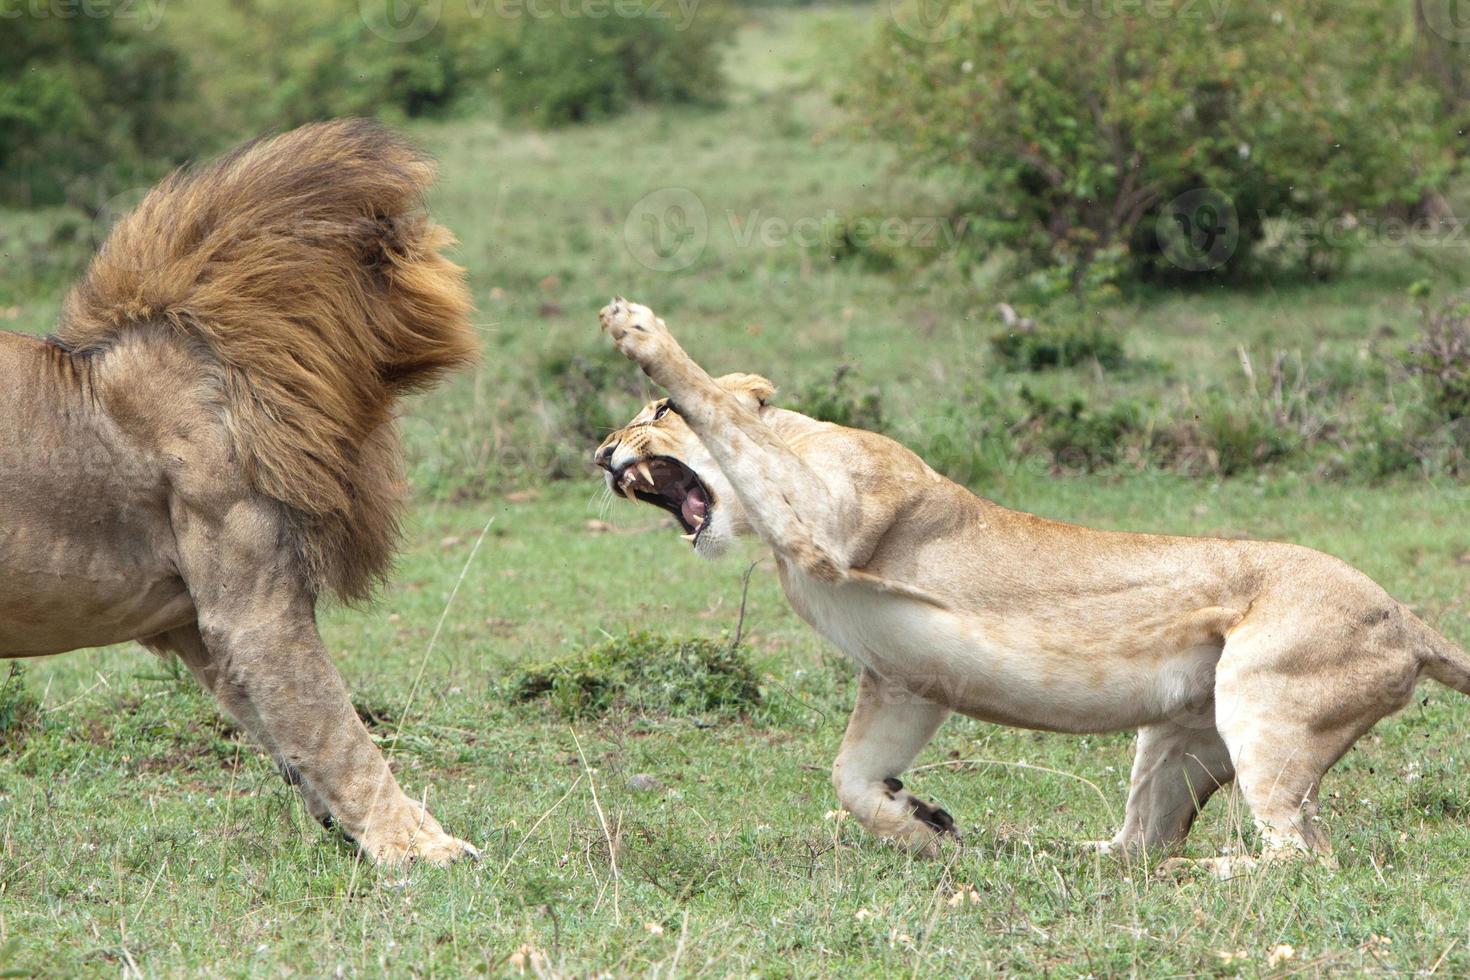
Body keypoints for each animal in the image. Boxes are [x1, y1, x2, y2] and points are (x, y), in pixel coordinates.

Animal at [0, 121, 481, 865]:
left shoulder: (196, 623)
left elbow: (291, 730)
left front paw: (348, 827)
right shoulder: (251, 605)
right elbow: (338, 729)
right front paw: (419, 847)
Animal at [594, 298, 1470, 875]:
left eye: (657, 412)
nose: (602, 451)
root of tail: (1408, 618)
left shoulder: (834, 514)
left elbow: (724, 414)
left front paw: (639, 330)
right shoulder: (903, 678)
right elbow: (849, 779)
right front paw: (923, 826)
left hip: (1264, 704)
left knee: (1303, 857)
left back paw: (1197, 873)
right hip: (1181, 735)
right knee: (1142, 840)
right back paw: (1048, 850)